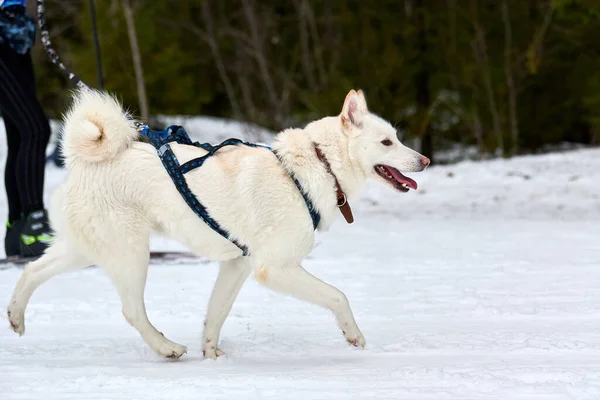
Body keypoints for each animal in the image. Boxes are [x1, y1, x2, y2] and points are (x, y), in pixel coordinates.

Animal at [4, 87, 426, 360]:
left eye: (396, 138)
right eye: (387, 142)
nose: (423, 161)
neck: (314, 167)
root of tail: (82, 160)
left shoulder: (237, 265)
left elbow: (216, 312)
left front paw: (211, 353)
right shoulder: (275, 268)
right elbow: (338, 296)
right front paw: (354, 336)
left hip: (84, 249)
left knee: (31, 271)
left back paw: (15, 317)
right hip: (130, 254)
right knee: (131, 311)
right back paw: (167, 347)